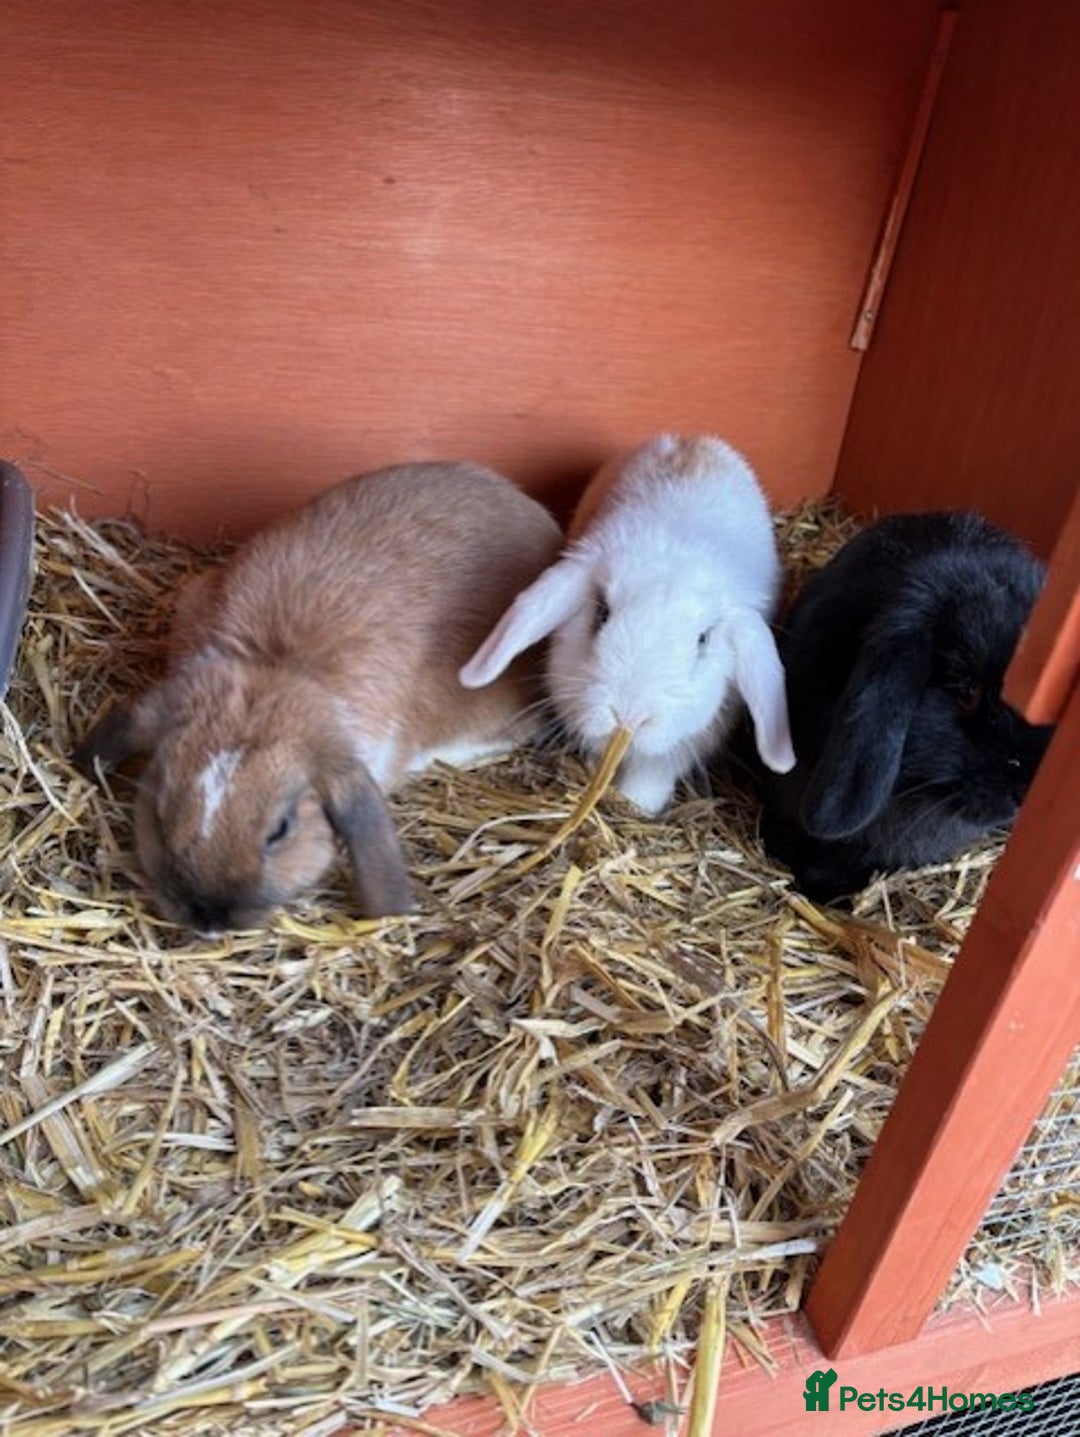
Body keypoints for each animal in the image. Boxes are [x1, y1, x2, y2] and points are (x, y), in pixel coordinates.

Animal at [459, 434, 795, 815]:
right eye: (602, 614)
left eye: (703, 640)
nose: (628, 716)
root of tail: (691, 439)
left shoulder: (679, 747)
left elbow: (650, 775)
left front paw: (637, 805)